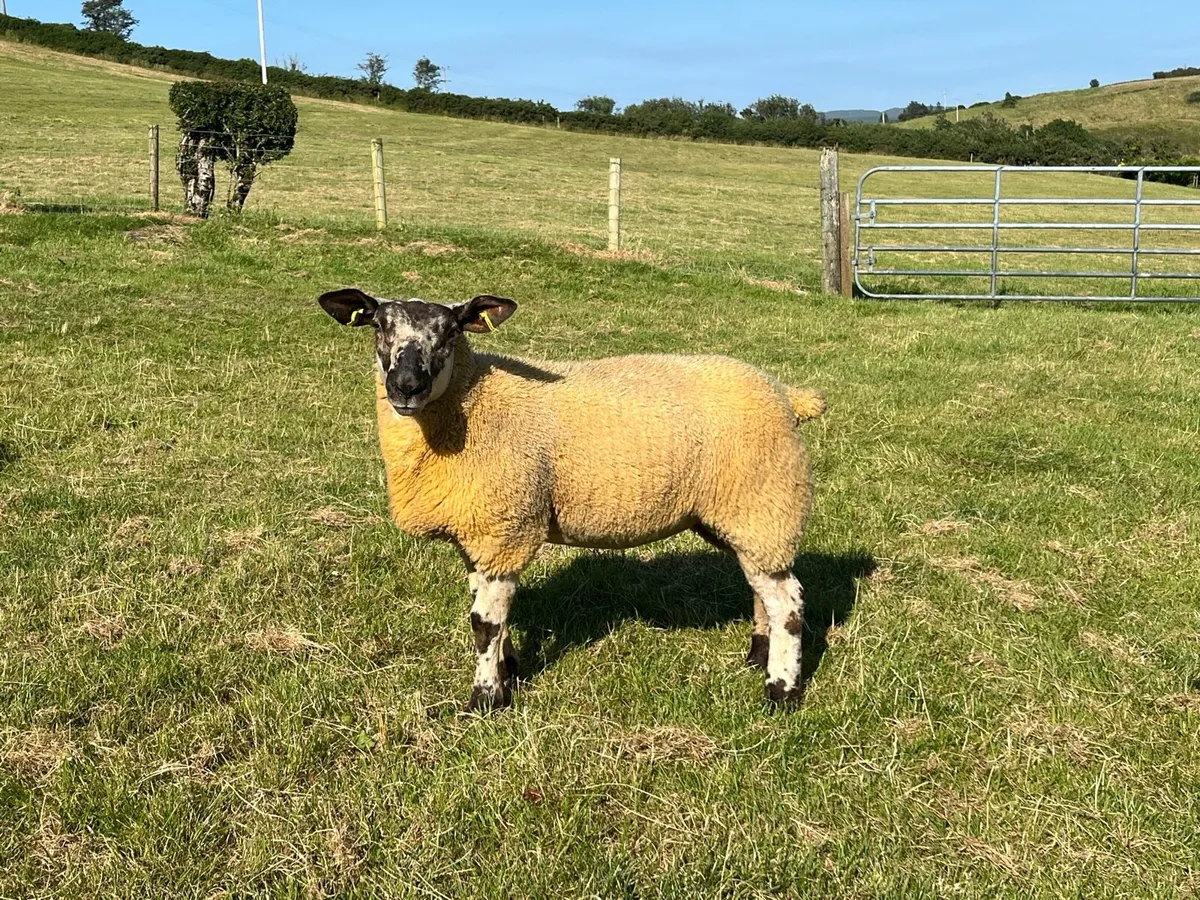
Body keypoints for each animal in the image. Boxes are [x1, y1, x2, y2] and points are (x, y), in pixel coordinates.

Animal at [318, 287, 826, 712]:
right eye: (379, 326)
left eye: (450, 331)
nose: (406, 385)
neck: (471, 401)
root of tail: (787, 396)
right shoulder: (478, 532)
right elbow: (493, 615)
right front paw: (509, 670)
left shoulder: (507, 527)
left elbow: (484, 624)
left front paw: (485, 699)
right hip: (746, 517)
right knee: (763, 588)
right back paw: (758, 655)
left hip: (764, 500)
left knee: (789, 603)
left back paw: (781, 691)